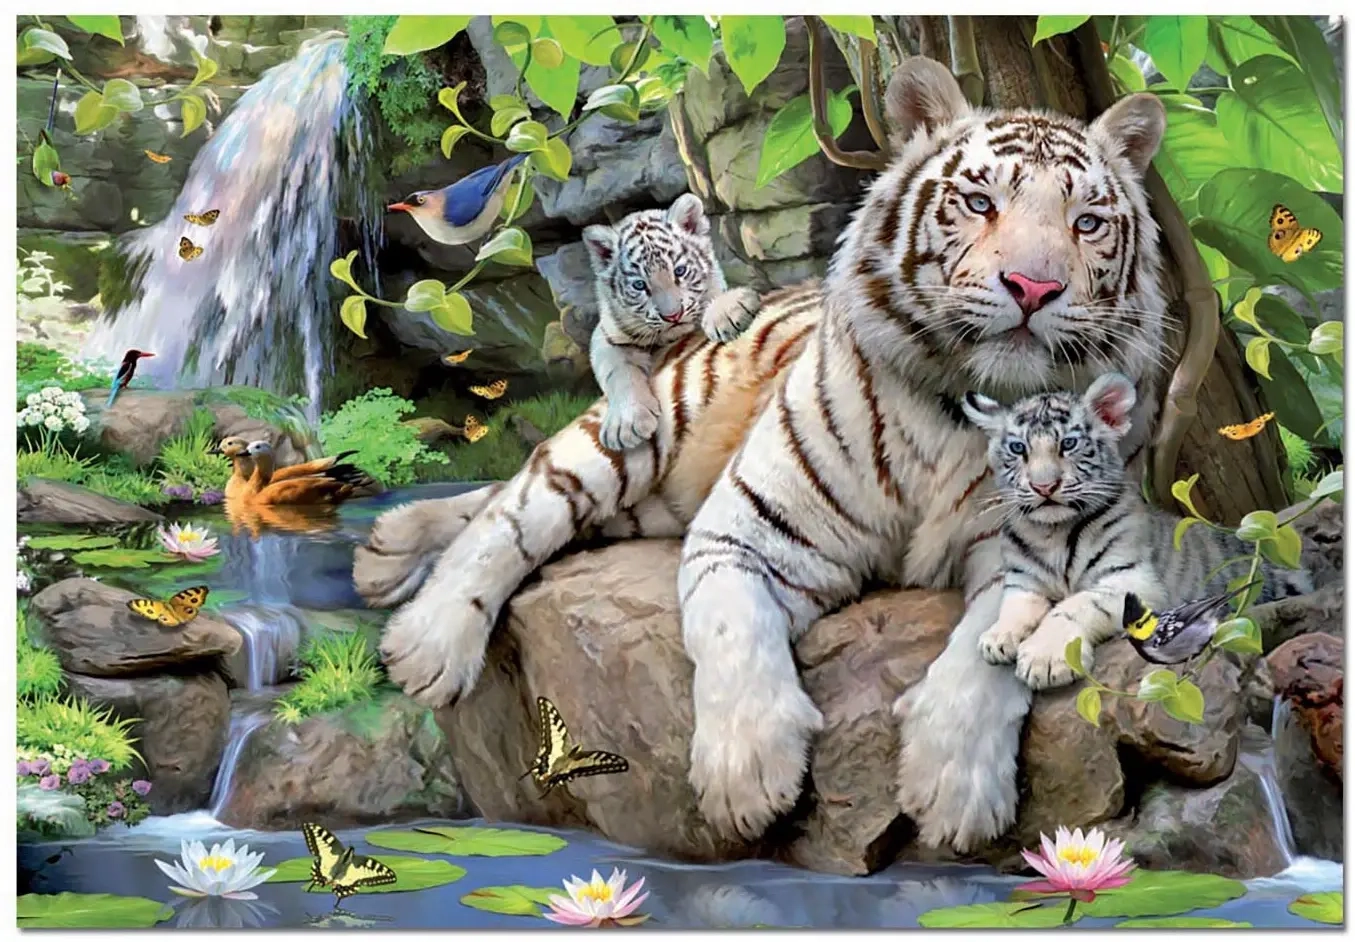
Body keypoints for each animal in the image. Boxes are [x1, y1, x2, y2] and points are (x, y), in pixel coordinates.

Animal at [583, 193, 762, 451]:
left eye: (680, 271)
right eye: (640, 285)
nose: (673, 315)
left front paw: (728, 312)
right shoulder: (606, 336)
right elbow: (618, 372)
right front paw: (626, 424)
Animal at [963, 371, 1311, 681]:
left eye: (1069, 444)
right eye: (1018, 448)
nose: (1044, 487)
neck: (1052, 533)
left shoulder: (1132, 580)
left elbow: (1073, 605)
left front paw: (1044, 659)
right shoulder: (1024, 580)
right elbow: (1015, 605)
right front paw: (997, 637)